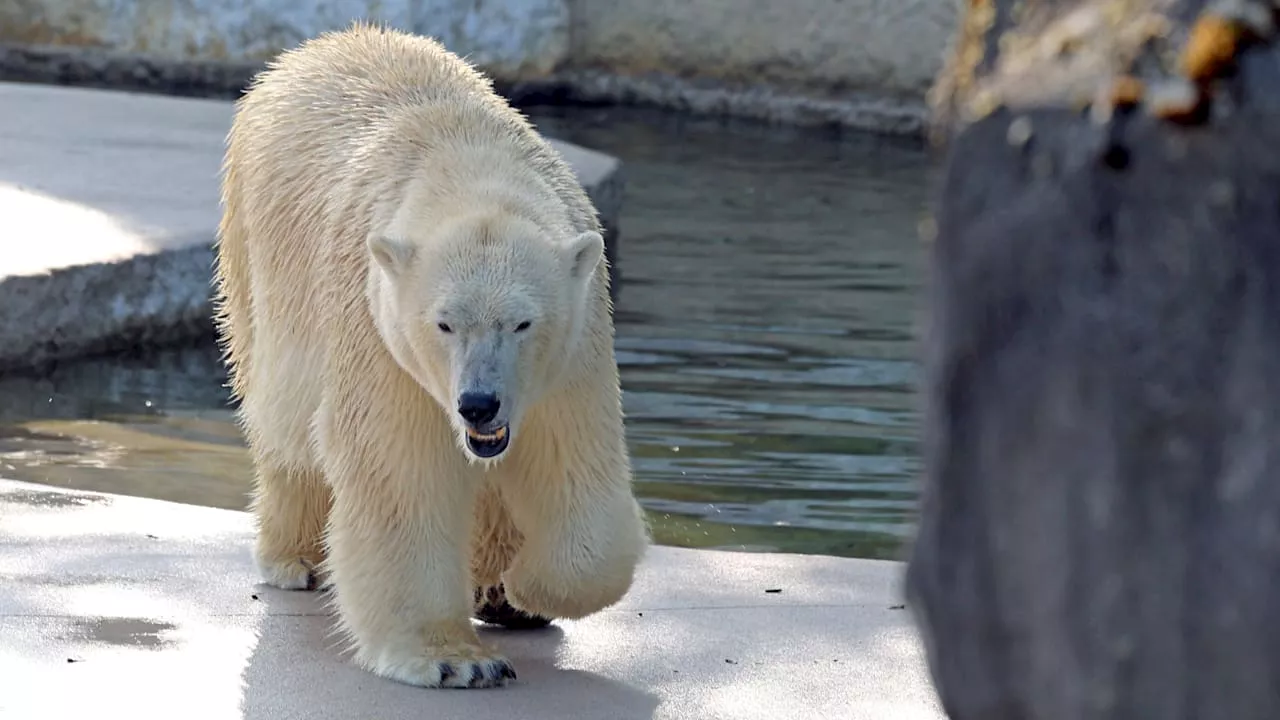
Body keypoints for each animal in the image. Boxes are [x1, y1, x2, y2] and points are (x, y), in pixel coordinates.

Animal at [213, 22, 650, 686]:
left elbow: (573, 461)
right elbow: (399, 467)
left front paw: (524, 588)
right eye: (443, 324)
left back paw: (497, 590)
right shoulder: (379, 326)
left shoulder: (577, 344)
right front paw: (454, 661)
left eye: (522, 323)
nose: (478, 404)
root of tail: (318, 46)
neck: (468, 159)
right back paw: (297, 558)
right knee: (285, 422)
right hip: (255, 248)